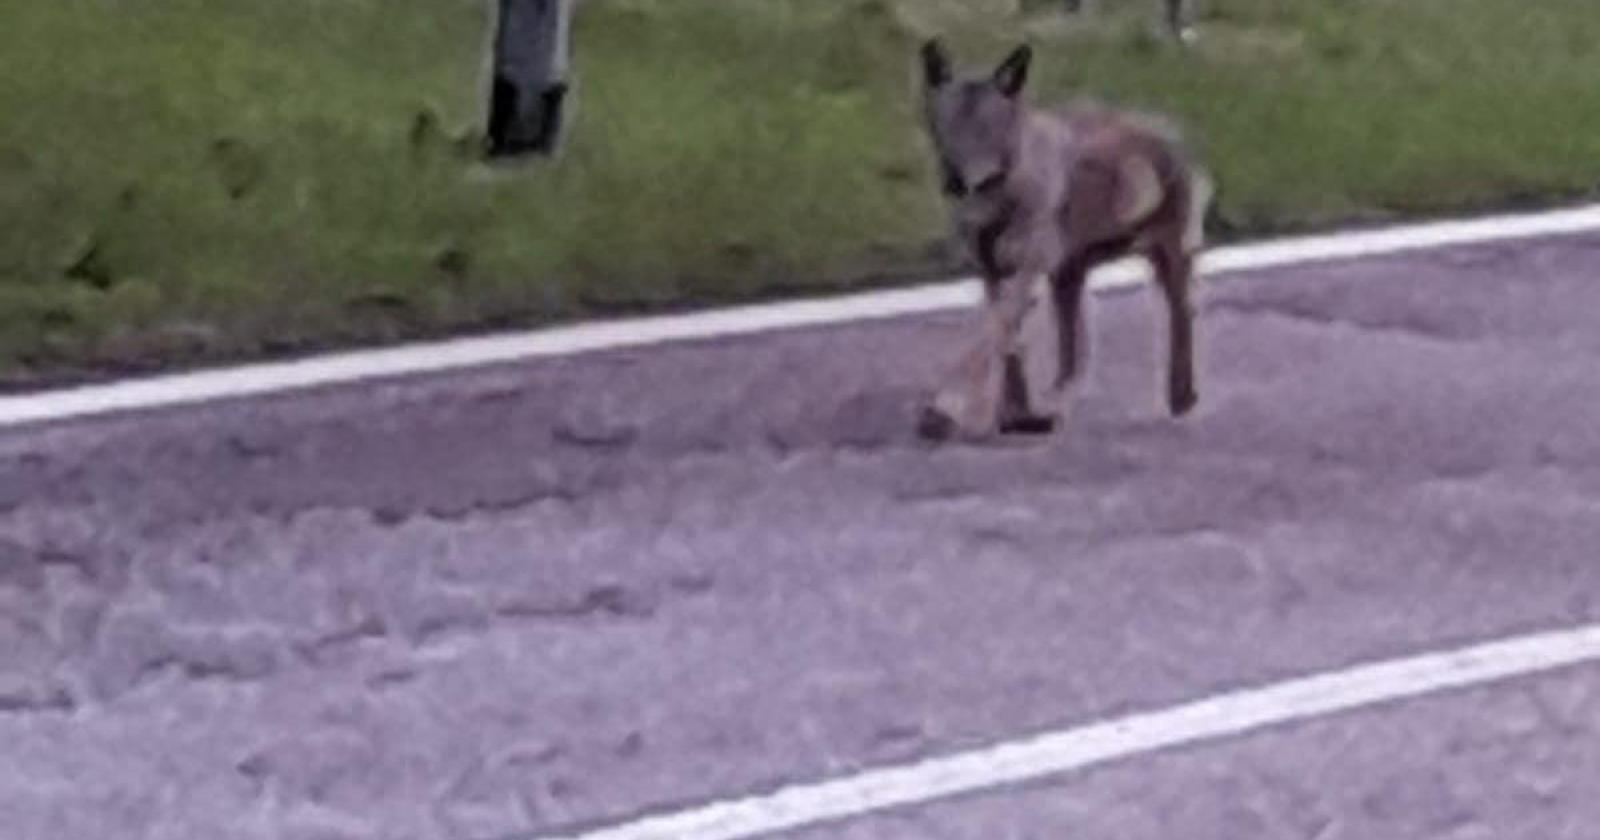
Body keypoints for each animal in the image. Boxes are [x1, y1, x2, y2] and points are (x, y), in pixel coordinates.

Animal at [916, 39, 1213, 440]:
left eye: (986, 128)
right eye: (943, 127)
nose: (954, 181)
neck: (1002, 192)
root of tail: (1168, 130)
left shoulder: (1027, 268)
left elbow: (993, 338)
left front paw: (946, 408)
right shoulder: (992, 273)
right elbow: (1009, 343)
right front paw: (1016, 417)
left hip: (1168, 258)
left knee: (1182, 315)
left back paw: (1181, 396)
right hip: (1068, 276)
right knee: (1074, 358)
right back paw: (1055, 403)